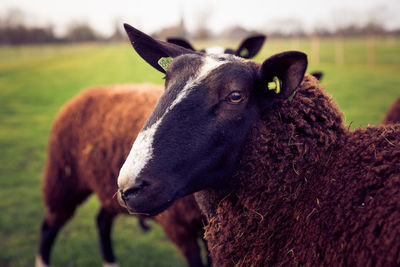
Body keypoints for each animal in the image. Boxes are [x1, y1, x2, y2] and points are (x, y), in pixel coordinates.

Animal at [36, 85, 209, 267]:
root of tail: (85, 93)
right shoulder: (178, 226)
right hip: (64, 179)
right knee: (49, 226)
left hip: (107, 190)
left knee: (102, 221)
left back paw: (110, 262)